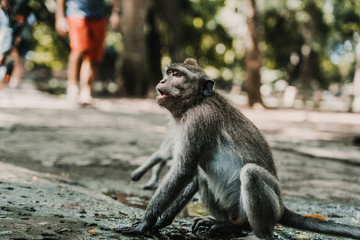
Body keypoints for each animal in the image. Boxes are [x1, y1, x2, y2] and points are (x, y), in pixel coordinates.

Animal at [115, 58, 360, 240]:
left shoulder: (198, 120)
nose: (163, 79)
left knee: (250, 174)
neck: (194, 103)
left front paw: (146, 223)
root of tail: (282, 205)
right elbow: (191, 174)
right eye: (169, 72)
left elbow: (183, 170)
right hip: (231, 209)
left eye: (178, 75)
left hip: (266, 206)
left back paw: (257, 234)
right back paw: (226, 225)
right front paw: (163, 221)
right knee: (204, 177)